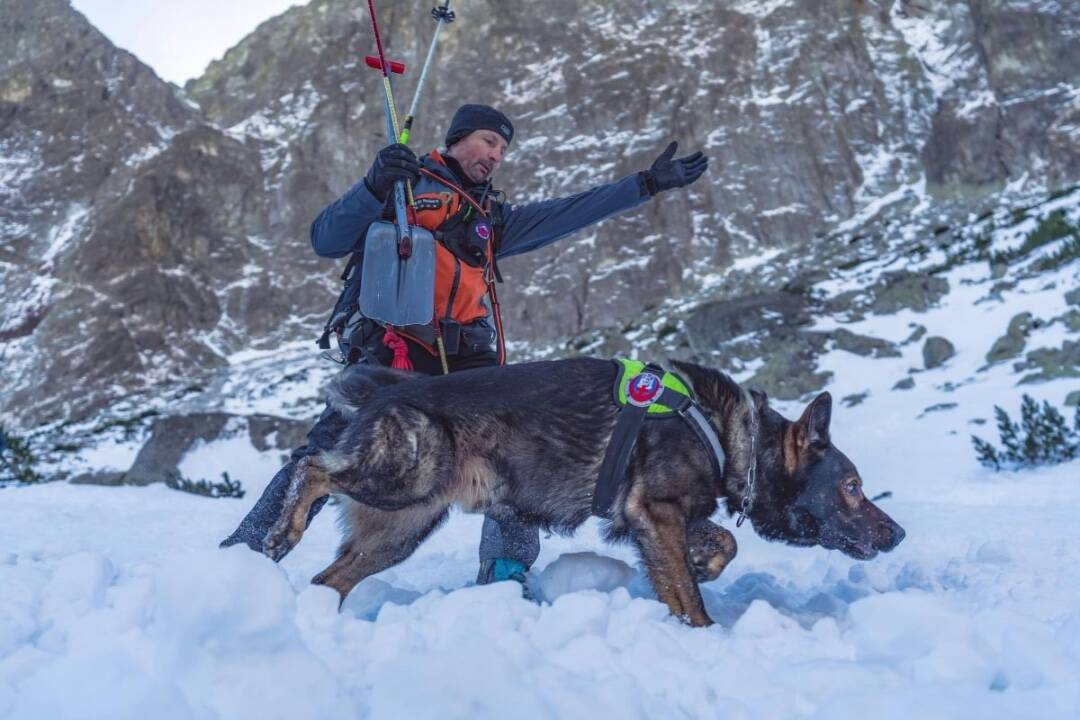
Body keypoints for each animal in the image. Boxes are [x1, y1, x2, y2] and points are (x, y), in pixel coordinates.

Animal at [265, 358, 907, 626]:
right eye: (852, 487)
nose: (899, 533)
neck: (731, 436)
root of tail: (379, 393)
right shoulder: (656, 511)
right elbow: (694, 589)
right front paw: (702, 633)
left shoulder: (653, 518)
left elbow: (715, 549)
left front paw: (701, 568)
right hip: (405, 480)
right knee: (312, 467)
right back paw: (281, 532)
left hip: (401, 528)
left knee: (330, 578)